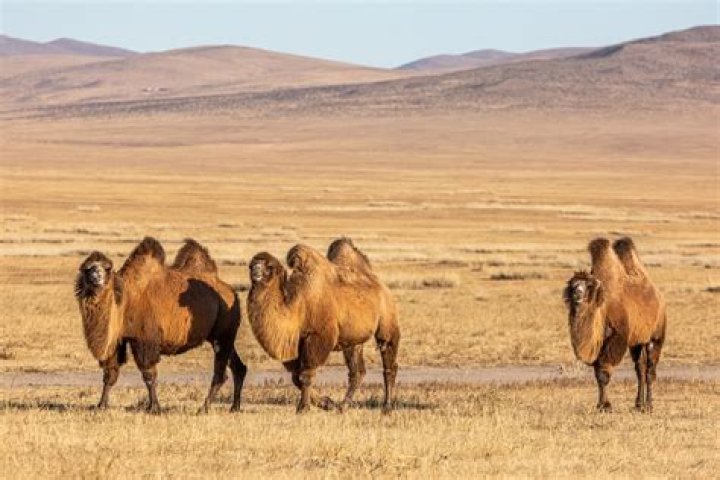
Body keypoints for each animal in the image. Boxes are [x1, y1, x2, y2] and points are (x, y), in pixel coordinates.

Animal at [75, 237, 246, 413]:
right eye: (88, 268)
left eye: (106, 268)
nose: (96, 276)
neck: (125, 301)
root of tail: (231, 292)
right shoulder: (117, 340)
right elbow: (110, 373)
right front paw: (101, 405)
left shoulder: (145, 340)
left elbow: (149, 375)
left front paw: (154, 407)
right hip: (219, 336)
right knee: (238, 366)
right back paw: (234, 406)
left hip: (224, 332)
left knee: (221, 373)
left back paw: (204, 408)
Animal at [247, 238, 400, 414]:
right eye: (251, 264)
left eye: (269, 266)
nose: (256, 271)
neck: (298, 306)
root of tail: (381, 285)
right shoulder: (295, 343)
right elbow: (296, 377)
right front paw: (327, 402)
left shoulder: (317, 337)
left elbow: (305, 375)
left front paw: (303, 407)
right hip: (353, 340)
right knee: (357, 372)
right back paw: (343, 406)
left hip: (387, 322)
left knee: (388, 363)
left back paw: (386, 407)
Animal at [564, 237, 666, 412]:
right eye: (572, 285)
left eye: (588, 286)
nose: (577, 293)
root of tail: (659, 297)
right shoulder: (599, 344)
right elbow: (598, 375)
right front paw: (601, 405)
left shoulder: (615, 339)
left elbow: (604, 373)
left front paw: (605, 406)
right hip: (636, 341)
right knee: (640, 369)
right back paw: (638, 404)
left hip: (655, 336)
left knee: (650, 370)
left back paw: (649, 405)